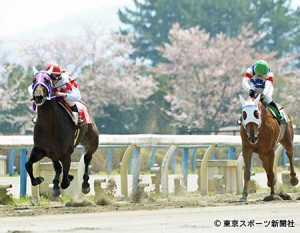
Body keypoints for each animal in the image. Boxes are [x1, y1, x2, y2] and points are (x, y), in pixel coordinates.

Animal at [25, 67, 98, 197]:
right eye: (33, 80)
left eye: (47, 79)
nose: (38, 97)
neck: (49, 126)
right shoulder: (40, 150)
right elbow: (28, 165)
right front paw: (39, 180)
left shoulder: (66, 153)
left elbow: (65, 182)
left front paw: (68, 179)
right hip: (53, 153)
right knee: (57, 166)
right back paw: (56, 184)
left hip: (92, 142)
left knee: (87, 158)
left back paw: (85, 185)